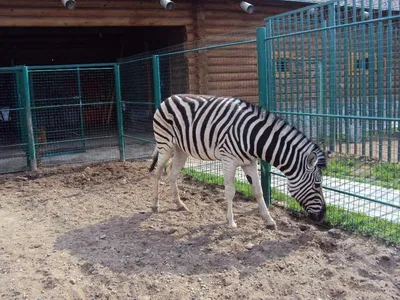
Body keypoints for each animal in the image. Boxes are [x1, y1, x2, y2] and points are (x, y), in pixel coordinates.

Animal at [148, 95, 326, 229]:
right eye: (317, 185)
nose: (323, 215)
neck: (254, 138)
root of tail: (168, 98)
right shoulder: (229, 160)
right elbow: (230, 192)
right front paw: (231, 222)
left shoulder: (250, 162)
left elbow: (258, 191)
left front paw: (269, 220)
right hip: (165, 145)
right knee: (157, 172)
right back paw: (155, 205)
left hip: (181, 149)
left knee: (171, 174)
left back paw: (179, 204)